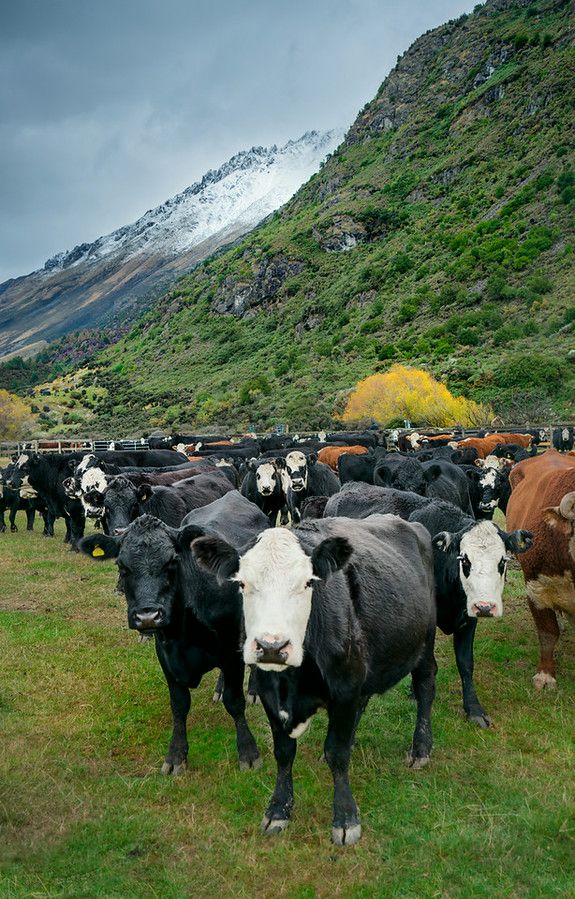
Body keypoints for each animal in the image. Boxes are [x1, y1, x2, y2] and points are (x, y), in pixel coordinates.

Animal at [79, 492, 272, 772]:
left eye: (171, 562)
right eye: (122, 566)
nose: (147, 616)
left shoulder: (231, 648)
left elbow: (235, 702)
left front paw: (248, 752)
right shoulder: (166, 655)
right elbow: (179, 705)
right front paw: (176, 755)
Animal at [410, 500, 536, 732]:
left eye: (502, 562)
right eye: (465, 561)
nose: (485, 607)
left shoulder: (469, 620)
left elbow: (466, 663)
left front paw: (474, 709)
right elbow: (426, 665)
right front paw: (414, 693)